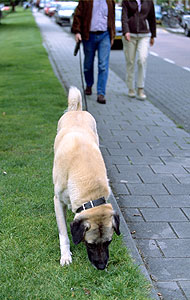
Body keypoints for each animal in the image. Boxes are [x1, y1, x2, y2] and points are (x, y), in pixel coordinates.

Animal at [52, 86, 119, 270]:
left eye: (109, 242)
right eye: (90, 244)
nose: (102, 266)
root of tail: (77, 110)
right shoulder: (57, 201)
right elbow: (63, 233)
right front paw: (66, 255)